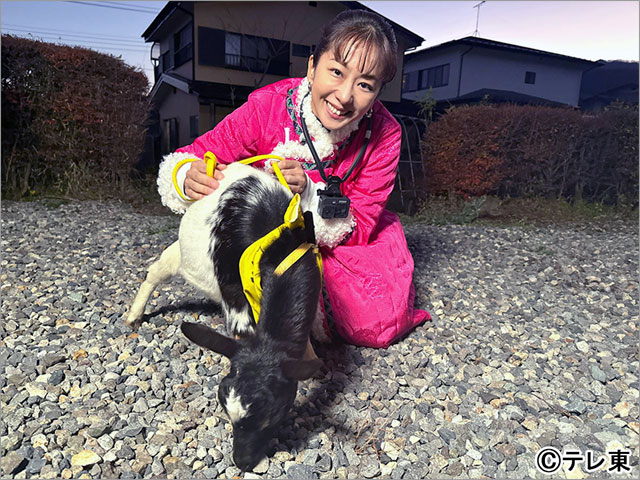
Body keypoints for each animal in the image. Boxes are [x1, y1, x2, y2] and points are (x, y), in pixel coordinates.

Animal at [126, 163, 324, 470]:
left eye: (275, 412)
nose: (241, 461)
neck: (280, 253)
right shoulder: (233, 293)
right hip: (179, 254)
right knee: (155, 272)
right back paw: (134, 316)